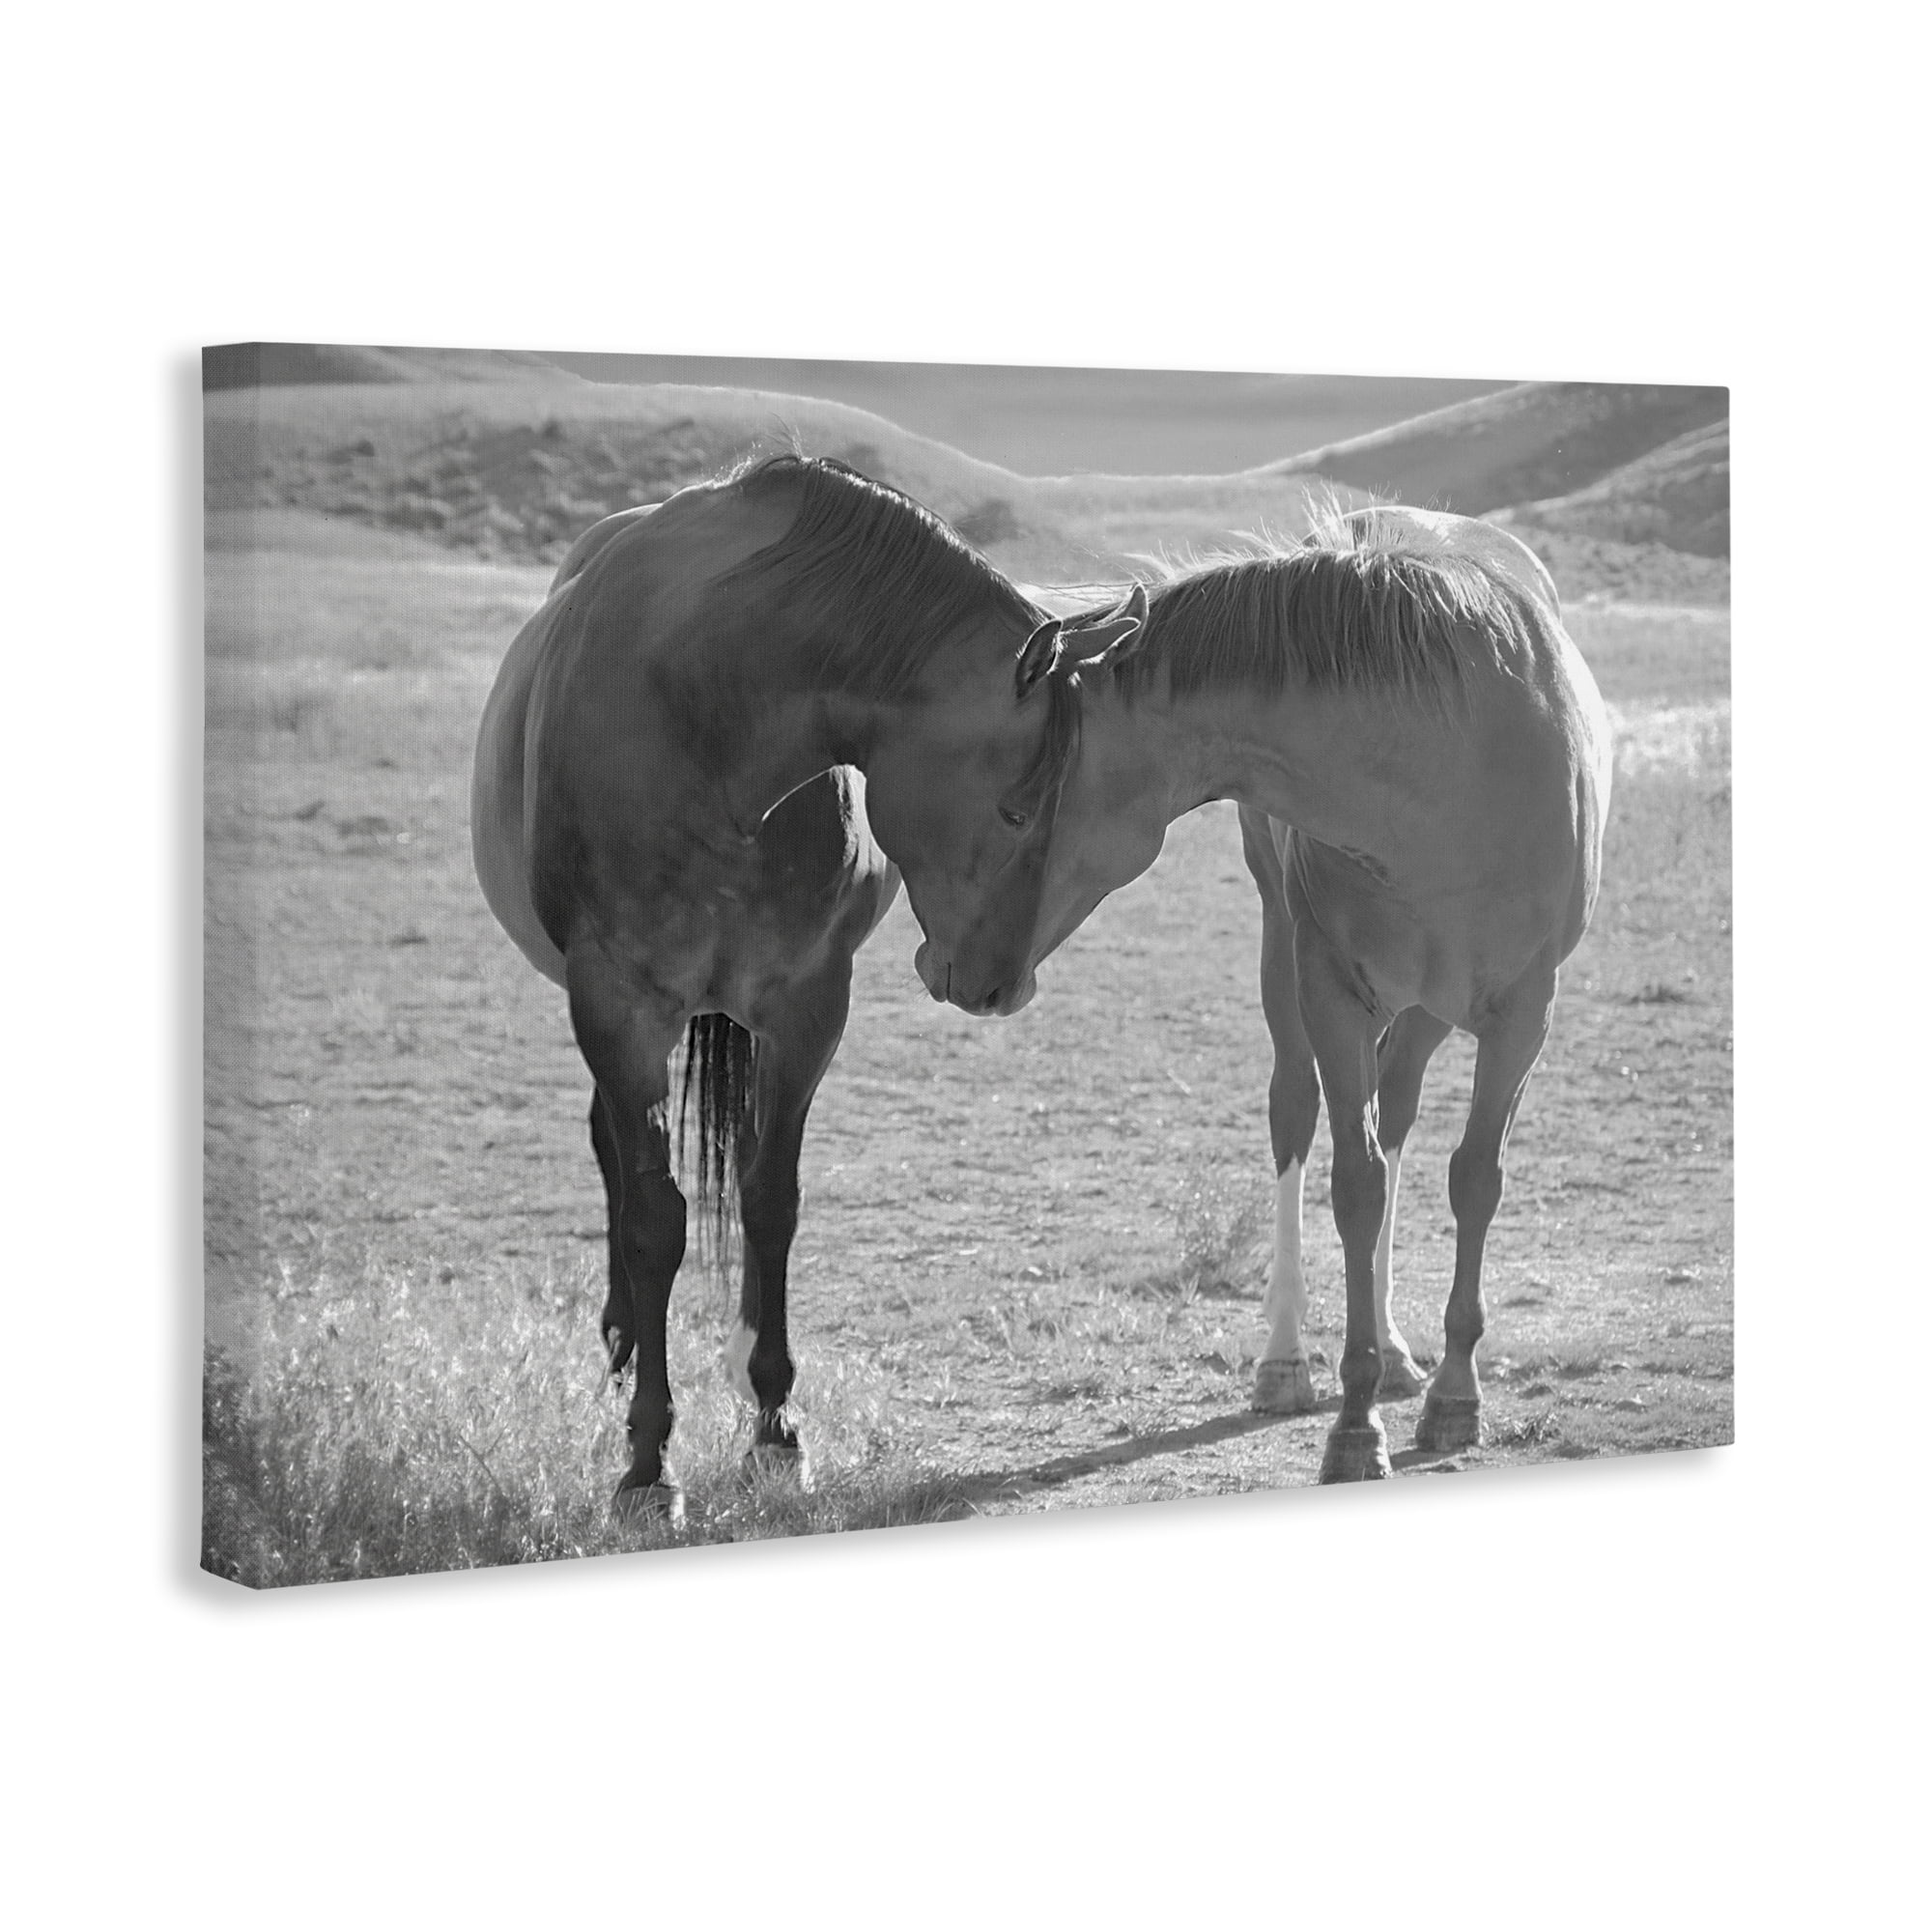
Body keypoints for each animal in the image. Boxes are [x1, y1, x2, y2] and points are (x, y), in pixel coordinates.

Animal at [471, 453, 1141, 1517]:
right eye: (1017, 805)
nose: (1001, 986)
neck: (704, 716)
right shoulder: (615, 1006)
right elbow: (656, 1218)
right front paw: (647, 1460)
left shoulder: (805, 1006)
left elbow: (768, 1201)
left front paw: (775, 1426)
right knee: (614, 1154)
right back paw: (621, 1340)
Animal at [913, 504, 1612, 1482]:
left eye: (1013, 806)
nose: (946, 969)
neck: (1449, 765)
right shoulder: (1331, 992)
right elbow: (1354, 1184)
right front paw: (1354, 1422)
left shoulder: (1523, 1013)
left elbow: (1474, 1179)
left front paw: (1454, 1396)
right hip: (1288, 955)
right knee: (1297, 1112)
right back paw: (1286, 1361)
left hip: (1430, 1007)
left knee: (1398, 1111)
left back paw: (1399, 1350)